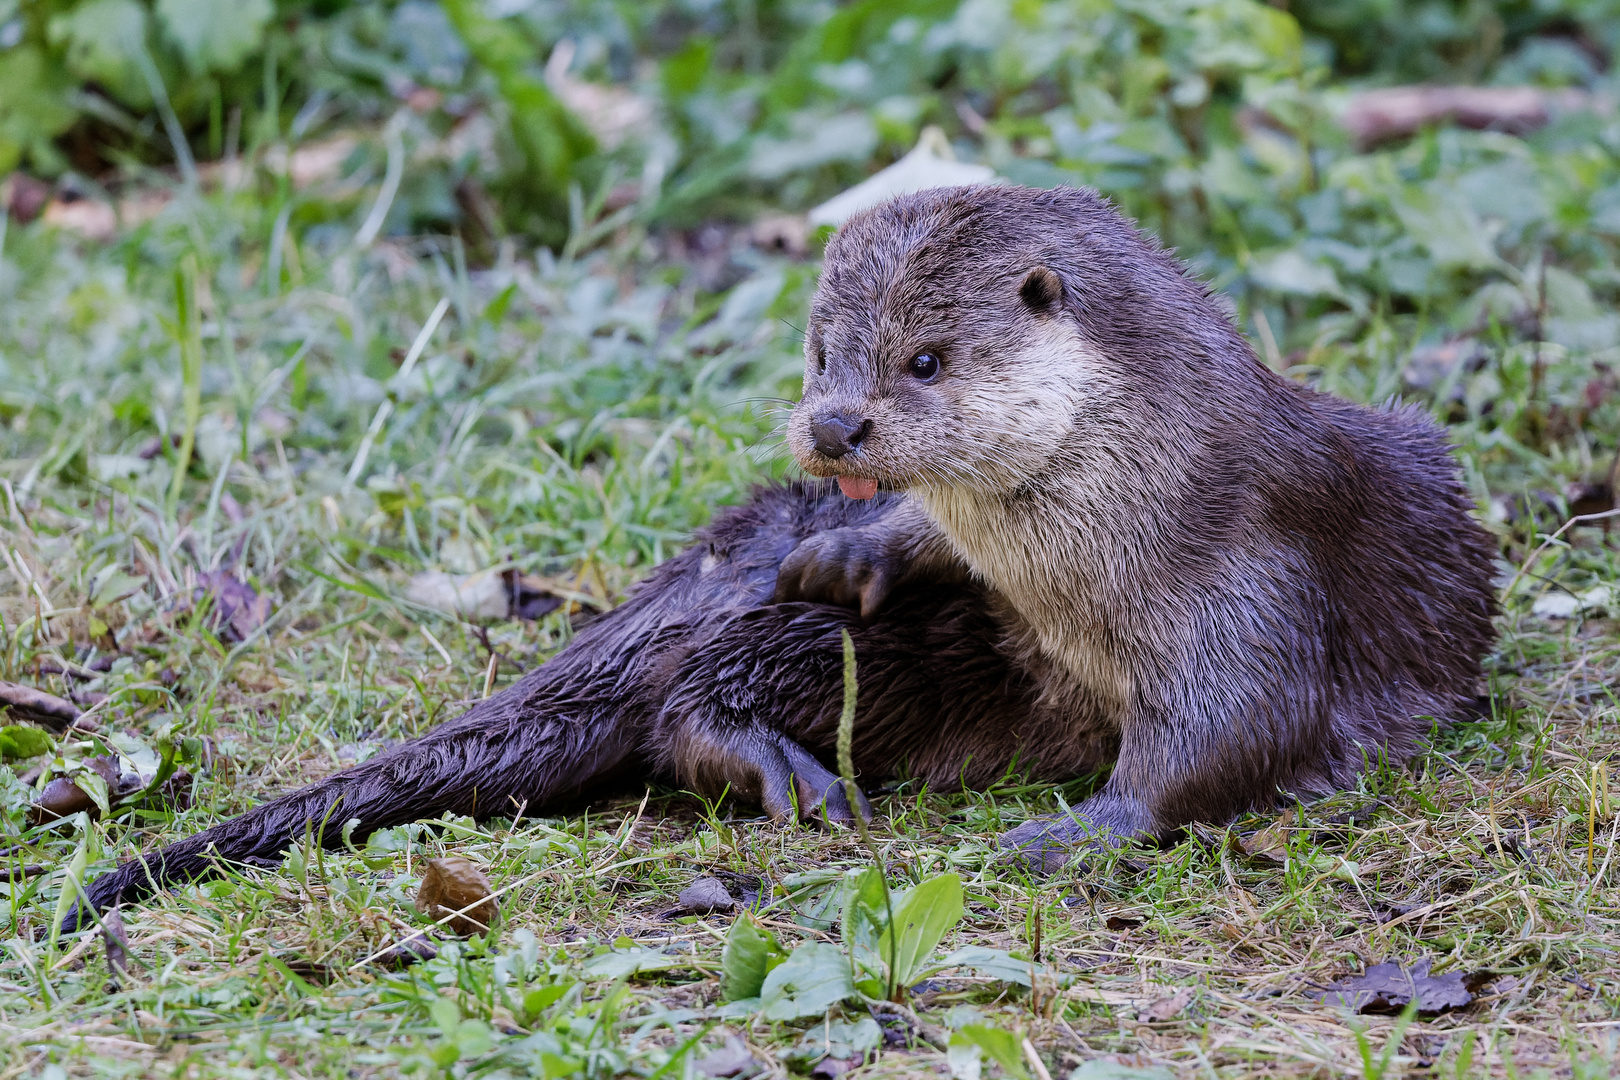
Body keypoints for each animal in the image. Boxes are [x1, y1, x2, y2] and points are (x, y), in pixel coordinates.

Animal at [72, 181, 1490, 926]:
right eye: (822, 353)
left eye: (927, 358)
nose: (835, 426)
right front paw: (858, 548)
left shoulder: (1242, 563)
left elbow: (1239, 724)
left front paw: (1080, 831)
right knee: (692, 700)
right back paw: (783, 765)